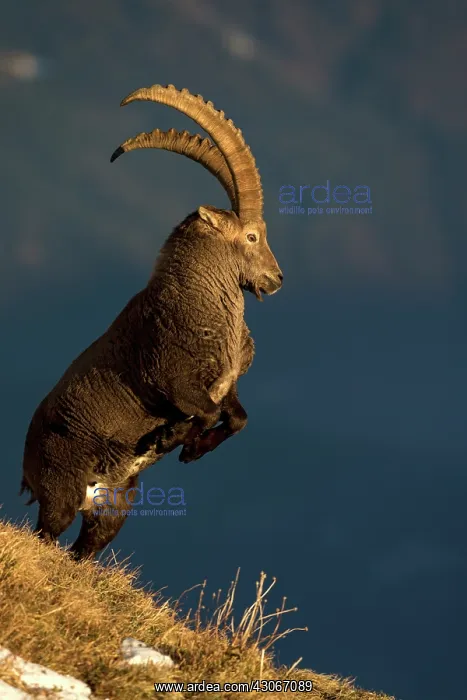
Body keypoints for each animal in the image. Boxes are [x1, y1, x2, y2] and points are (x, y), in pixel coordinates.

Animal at [20, 84, 283, 560]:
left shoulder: (227, 383)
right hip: (60, 490)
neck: (201, 304)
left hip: (114, 505)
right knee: (46, 535)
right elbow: (204, 412)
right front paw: (176, 441)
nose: (276, 279)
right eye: (252, 236)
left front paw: (188, 449)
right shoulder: (169, 380)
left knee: (85, 547)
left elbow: (237, 417)